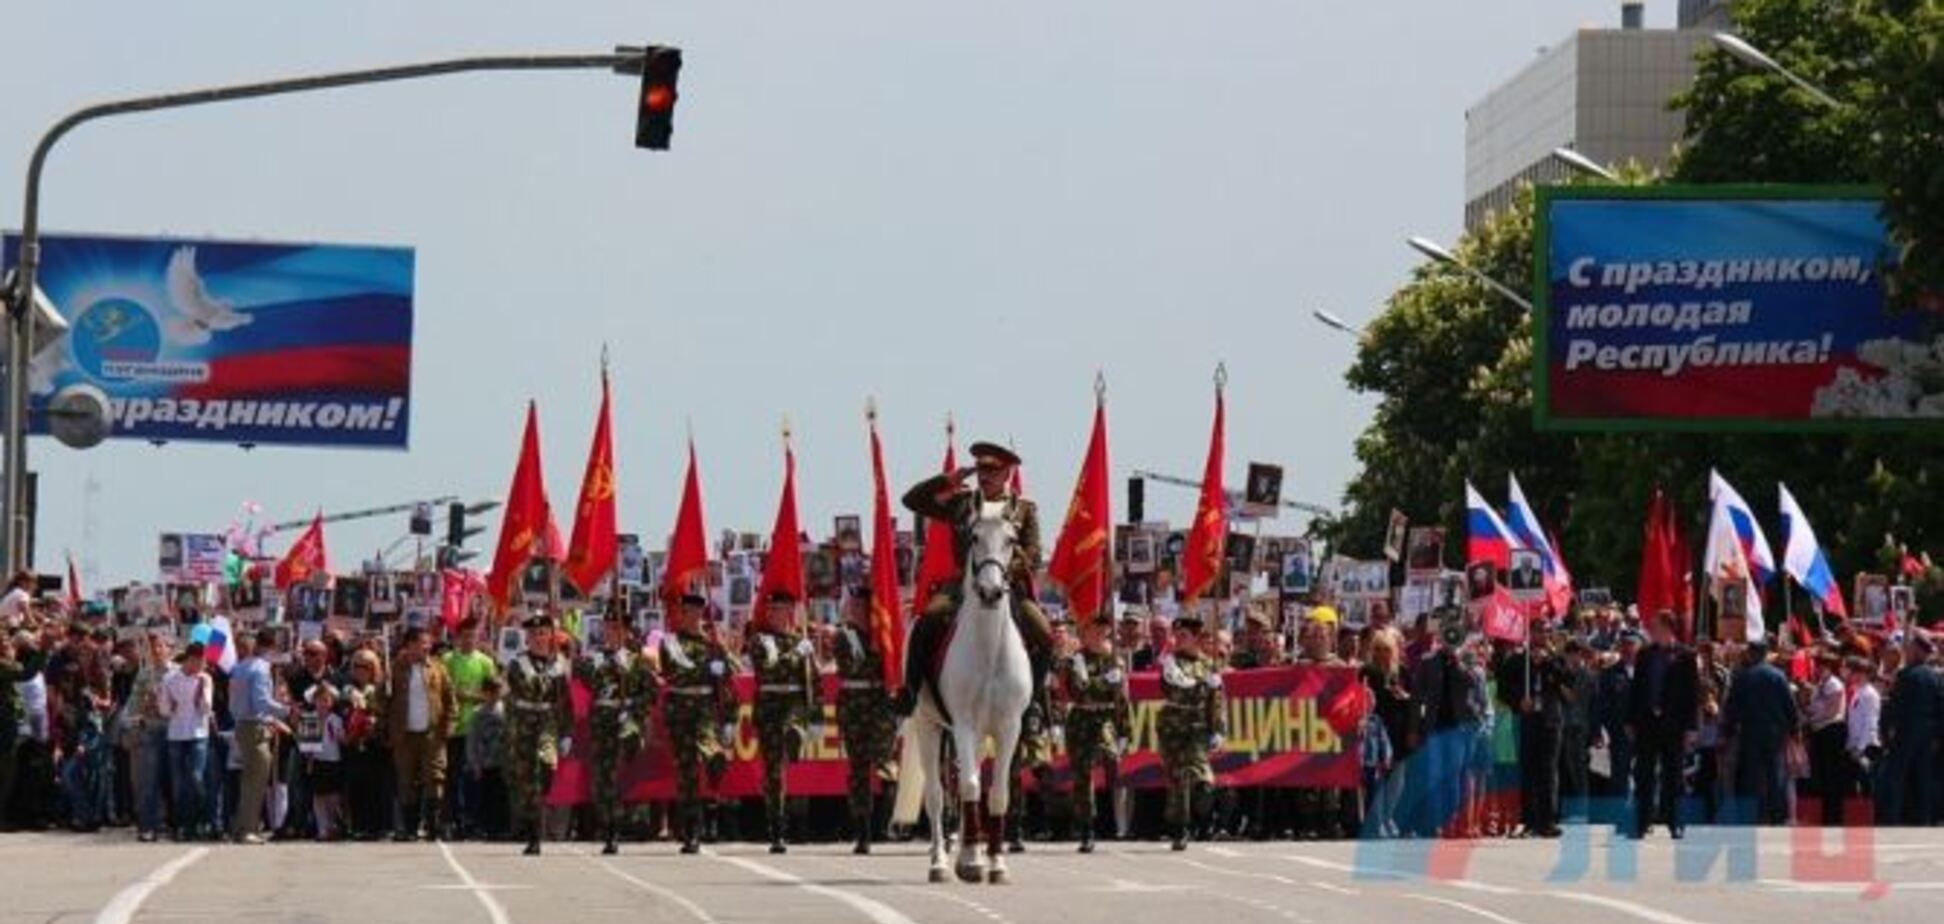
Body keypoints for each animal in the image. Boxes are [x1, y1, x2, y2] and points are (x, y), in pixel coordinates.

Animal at [890, 497, 1034, 883]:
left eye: (1012, 540)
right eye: (973, 537)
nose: (990, 592)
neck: (989, 650)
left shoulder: (1009, 727)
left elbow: (997, 794)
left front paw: (995, 863)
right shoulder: (965, 725)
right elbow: (969, 786)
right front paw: (971, 864)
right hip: (928, 725)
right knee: (937, 795)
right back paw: (940, 862)